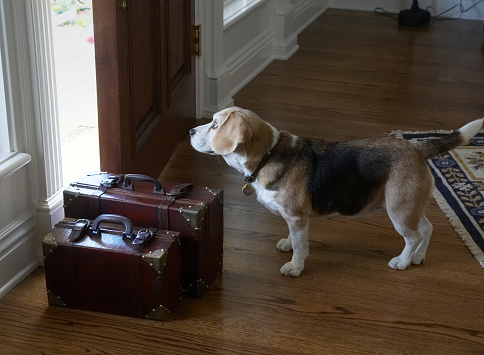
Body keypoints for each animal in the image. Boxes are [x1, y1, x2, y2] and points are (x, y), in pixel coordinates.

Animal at [190, 107, 484, 276]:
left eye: (215, 125)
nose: (191, 130)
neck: (269, 154)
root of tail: (417, 148)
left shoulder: (297, 216)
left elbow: (301, 246)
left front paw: (296, 266)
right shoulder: (295, 218)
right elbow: (295, 238)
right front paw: (289, 245)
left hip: (399, 210)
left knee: (412, 237)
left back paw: (402, 262)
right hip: (410, 206)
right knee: (426, 229)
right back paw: (418, 258)